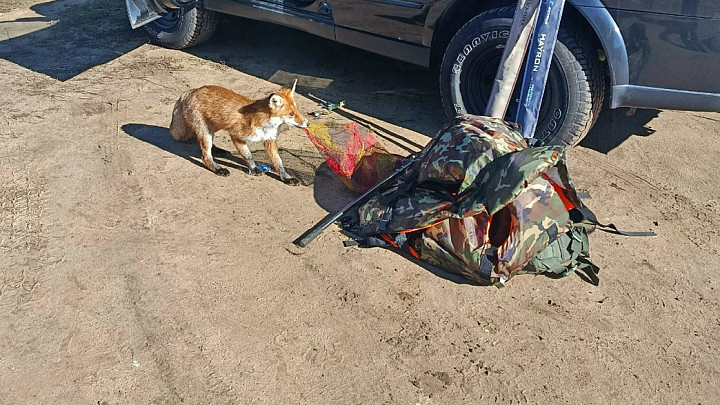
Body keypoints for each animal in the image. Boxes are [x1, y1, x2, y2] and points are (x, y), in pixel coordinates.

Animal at [169, 80, 308, 185]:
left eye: (297, 110)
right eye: (291, 113)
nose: (307, 123)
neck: (265, 124)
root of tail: (192, 90)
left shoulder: (269, 140)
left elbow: (279, 163)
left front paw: (286, 178)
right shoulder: (236, 136)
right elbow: (248, 155)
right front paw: (253, 168)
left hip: (214, 127)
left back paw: (217, 150)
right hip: (205, 132)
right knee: (205, 156)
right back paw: (218, 168)